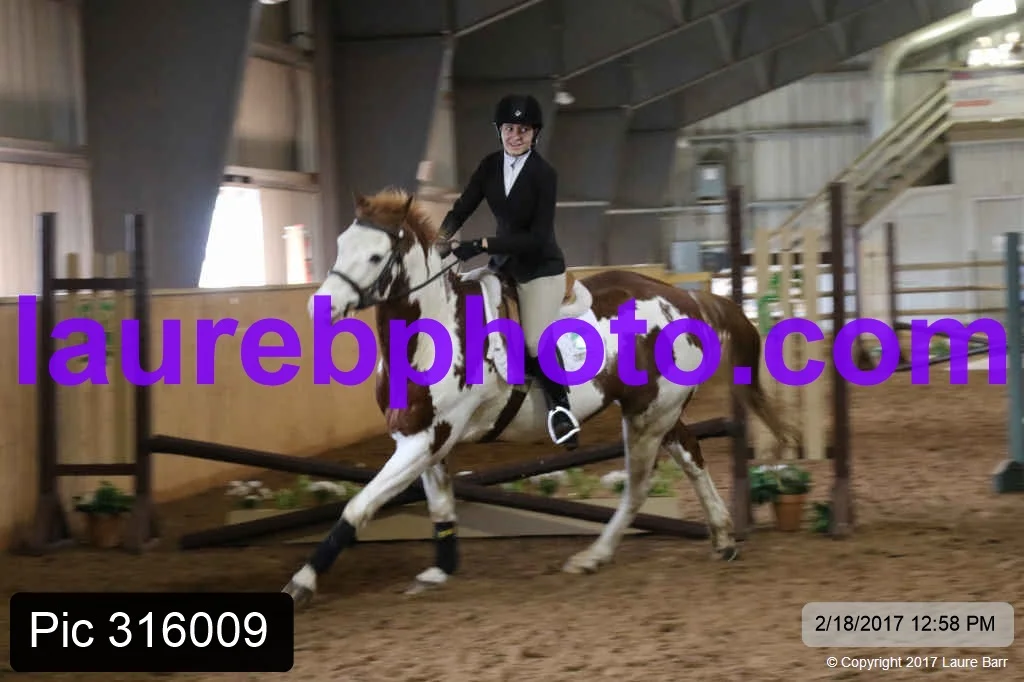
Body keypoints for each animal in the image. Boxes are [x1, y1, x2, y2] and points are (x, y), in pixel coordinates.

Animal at [282, 187, 796, 608]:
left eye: (374, 257)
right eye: (340, 246)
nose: (319, 307)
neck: (430, 331)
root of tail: (684, 300)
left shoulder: (428, 439)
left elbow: (358, 506)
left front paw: (301, 584)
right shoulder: (421, 437)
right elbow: (440, 505)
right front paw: (440, 570)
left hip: (647, 418)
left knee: (637, 486)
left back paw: (593, 556)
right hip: (659, 411)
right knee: (692, 457)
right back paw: (723, 539)